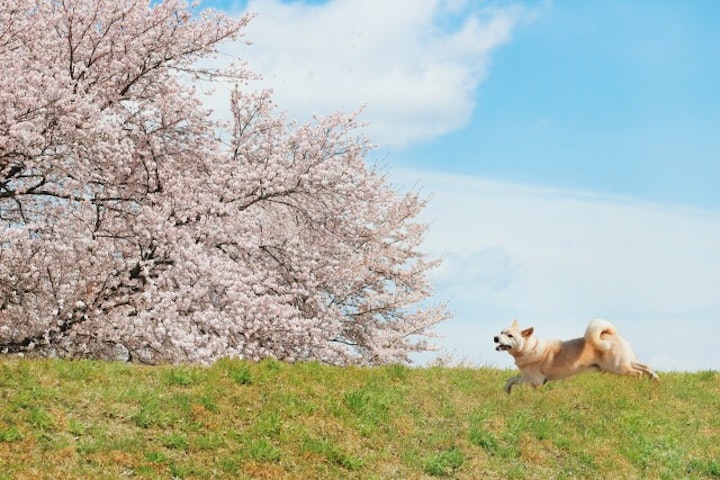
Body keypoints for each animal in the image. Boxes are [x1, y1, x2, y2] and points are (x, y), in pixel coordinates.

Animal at [496, 316, 660, 392]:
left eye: (510, 336)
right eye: (501, 332)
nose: (495, 338)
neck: (530, 348)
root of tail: (610, 333)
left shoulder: (535, 379)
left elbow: (518, 380)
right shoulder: (527, 377)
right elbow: (511, 379)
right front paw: (507, 390)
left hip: (617, 367)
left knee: (637, 373)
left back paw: (638, 383)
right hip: (623, 362)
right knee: (645, 367)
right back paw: (654, 379)